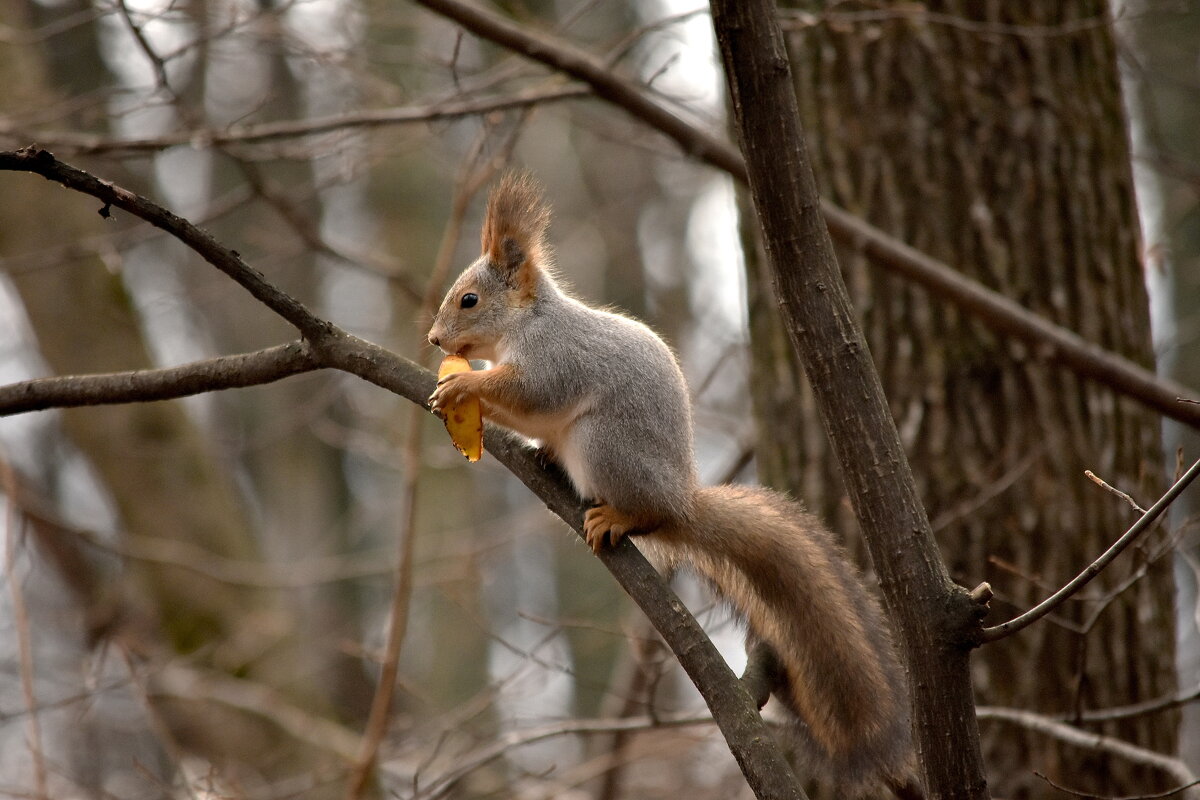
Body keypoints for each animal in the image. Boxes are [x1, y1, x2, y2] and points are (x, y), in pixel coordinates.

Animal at [427, 172, 921, 796]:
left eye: (469, 300)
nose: (434, 340)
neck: (528, 322)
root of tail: (682, 499)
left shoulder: (555, 360)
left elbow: (531, 394)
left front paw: (463, 389)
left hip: (606, 447)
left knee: (646, 513)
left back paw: (618, 515)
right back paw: (547, 460)